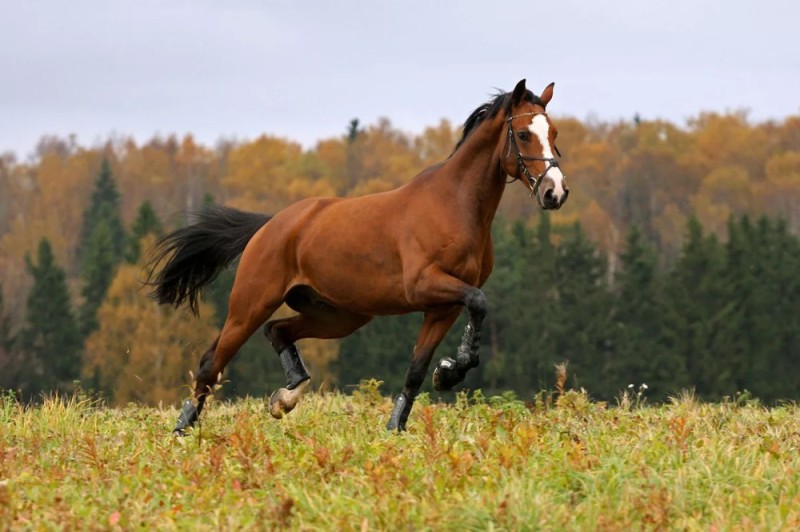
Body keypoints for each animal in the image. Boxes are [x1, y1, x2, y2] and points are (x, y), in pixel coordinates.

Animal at [145, 79, 568, 434]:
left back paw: (285, 397)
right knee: (211, 364)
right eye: (524, 134)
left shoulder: (442, 307)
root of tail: (270, 225)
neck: (455, 206)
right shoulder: (425, 287)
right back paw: (183, 432)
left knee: (278, 331)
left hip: (339, 315)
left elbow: (417, 369)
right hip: (251, 304)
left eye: (554, 134)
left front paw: (408, 415)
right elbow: (479, 301)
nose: (556, 192)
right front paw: (450, 371)